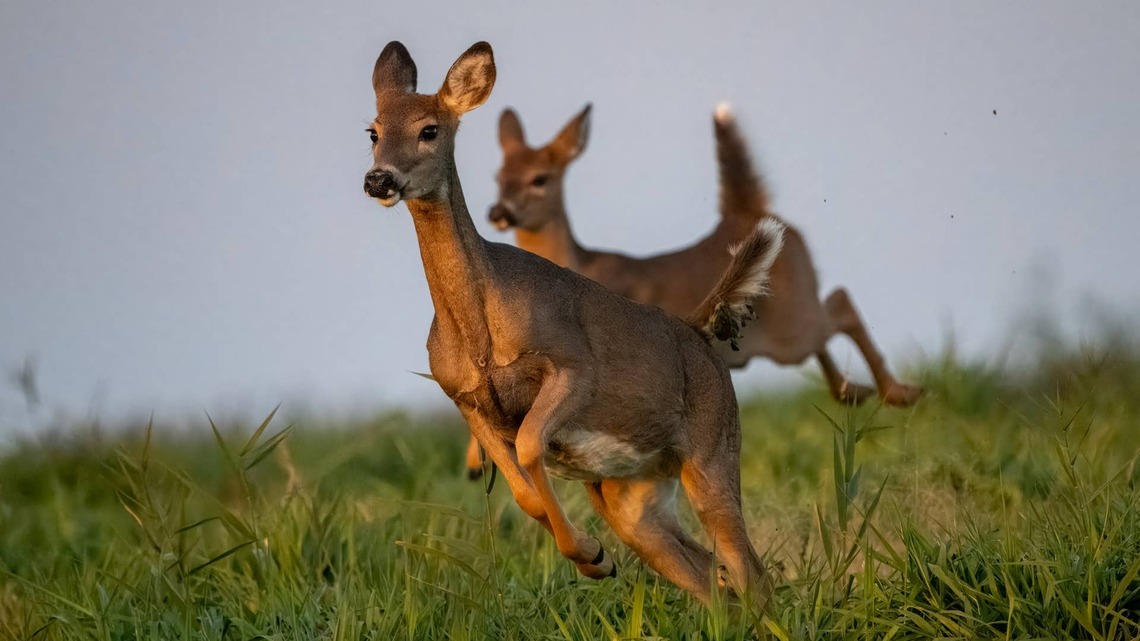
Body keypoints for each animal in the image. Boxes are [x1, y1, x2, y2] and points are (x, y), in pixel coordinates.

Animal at [363, 40, 787, 611]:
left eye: (430, 129)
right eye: (373, 131)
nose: (379, 179)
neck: (480, 333)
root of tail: (699, 334)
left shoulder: (571, 365)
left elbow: (529, 447)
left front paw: (592, 557)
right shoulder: (465, 399)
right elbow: (522, 490)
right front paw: (596, 558)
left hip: (712, 447)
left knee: (749, 570)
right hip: (633, 493)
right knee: (712, 574)